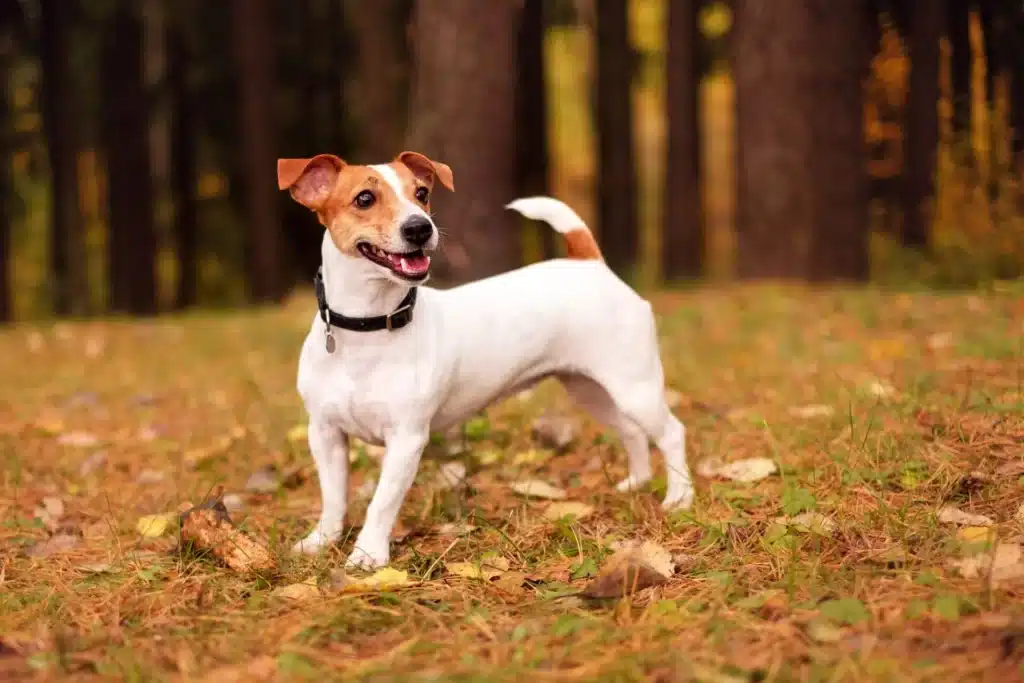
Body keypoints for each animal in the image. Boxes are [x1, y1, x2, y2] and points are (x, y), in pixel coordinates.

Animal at [278, 150, 696, 573]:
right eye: (364, 198)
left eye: (422, 193)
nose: (420, 228)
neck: (368, 327)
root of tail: (590, 263)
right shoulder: (325, 433)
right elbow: (333, 496)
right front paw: (322, 540)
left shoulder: (406, 439)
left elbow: (382, 502)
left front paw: (367, 554)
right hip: (590, 390)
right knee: (631, 432)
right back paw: (637, 483)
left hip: (635, 387)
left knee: (671, 433)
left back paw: (679, 497)